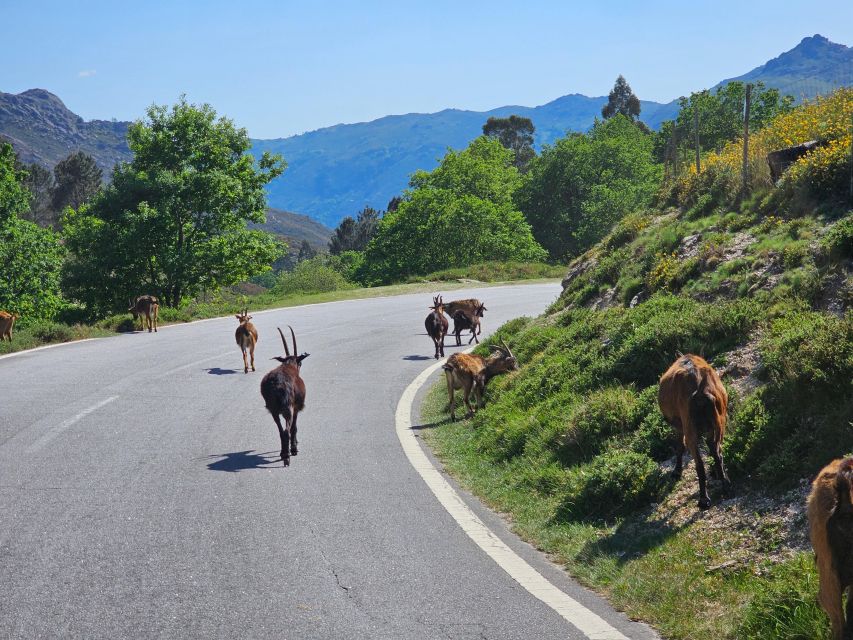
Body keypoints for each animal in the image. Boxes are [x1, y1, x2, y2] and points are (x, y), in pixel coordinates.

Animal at [262, 328, 312, 468]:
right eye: (300, 362)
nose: (300, 365)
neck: (289, 365)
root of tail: (277, 384)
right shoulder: (296, 408)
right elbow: (294, 427)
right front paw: (294, 449)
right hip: (288, 408)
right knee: (286, 430)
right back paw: (287, 457)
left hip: (274, 410)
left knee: (280, 431)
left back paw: (283, 453)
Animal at [656, 352, 728, 508]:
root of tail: (701, 391)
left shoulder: (680, 424)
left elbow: (679, 446)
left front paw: (676, 472)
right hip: (719, 421)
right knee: (717, 451)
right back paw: (725, 483)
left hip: (690, 425)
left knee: (699, 463)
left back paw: (703, 499)